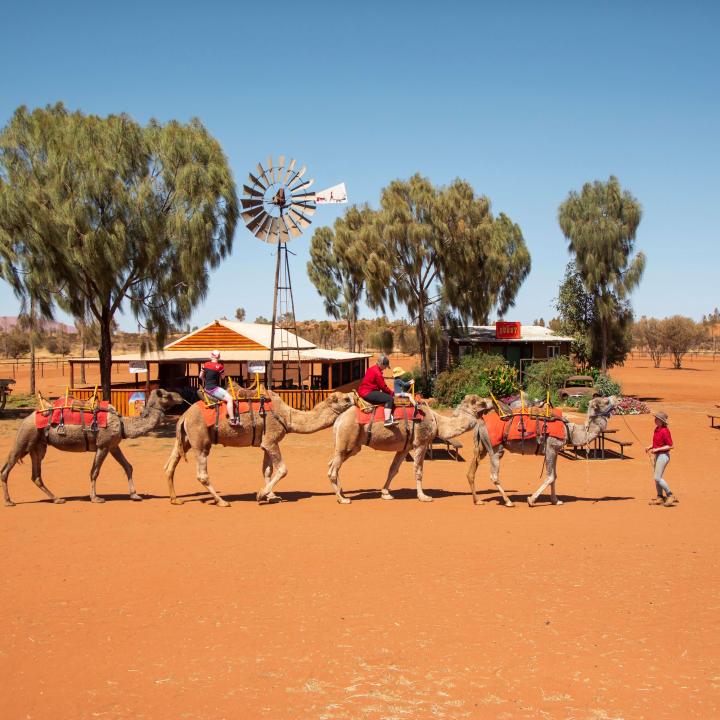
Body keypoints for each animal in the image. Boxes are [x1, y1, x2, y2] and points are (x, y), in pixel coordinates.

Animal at [1, 388, 183, 506]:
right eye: (167, 395)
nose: (181, 397)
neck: (123, 424)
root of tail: (27, 418)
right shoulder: (103, 445)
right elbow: (94, 471)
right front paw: (95, 498)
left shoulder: (113, 445)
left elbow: (128, 466)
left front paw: (135, 495)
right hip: (25, 438)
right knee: (7, 467)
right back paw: (9, 501)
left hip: (38, 446)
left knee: (36, 475)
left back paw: (57, 499)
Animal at [163, 390, 355, 506]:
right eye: (346, 399)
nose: (355, 398)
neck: (287, 418)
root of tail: (184, 416)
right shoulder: (271, 439)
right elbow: (282, 469)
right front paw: (261, 494)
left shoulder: (265, 444)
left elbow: (267, 471)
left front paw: (272, 496)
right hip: (200, 440)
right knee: (201, 473)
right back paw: (222, 501)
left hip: (184, 440)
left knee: (170, 466)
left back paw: (175, 500)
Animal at [328, 395, 494, 503]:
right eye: (480, 401)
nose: (491, 401)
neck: (437, 422)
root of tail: (339, 420)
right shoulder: (421, 443)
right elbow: (418, 471)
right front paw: (423, 497)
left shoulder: (404, 448)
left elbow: (393, 469)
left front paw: (385, 493)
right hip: (347, 441)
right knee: (332, 470)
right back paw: (342, 499)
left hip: (348, 446)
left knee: (333, 464)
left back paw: (341, 492)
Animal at [466, 395, 616, 507]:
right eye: (606, 401)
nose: (616, 398)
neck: (570, 431)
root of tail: (480, 423)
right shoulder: (551, 447)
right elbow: (550, 477)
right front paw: (531, 500)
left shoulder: (555, 450)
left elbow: (554, 476)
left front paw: (556, 500)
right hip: (495, 448)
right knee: (494, 475)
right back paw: (508, 502)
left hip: (482, 447)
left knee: (471, 472)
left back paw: (477, 500)